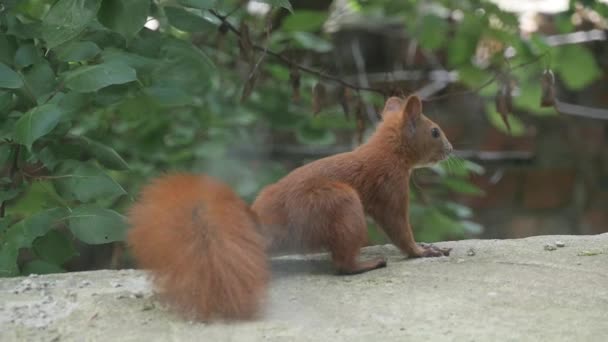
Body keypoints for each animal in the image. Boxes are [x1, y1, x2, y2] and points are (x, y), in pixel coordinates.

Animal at [127, 95, 452, 320]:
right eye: (435, 131)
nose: (450, 150)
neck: (389, 150)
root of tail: (267, 231)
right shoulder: (390, 188)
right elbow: (399, 228)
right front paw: (422, 250)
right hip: (340, 203)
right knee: (342, 264)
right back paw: (365, 264)